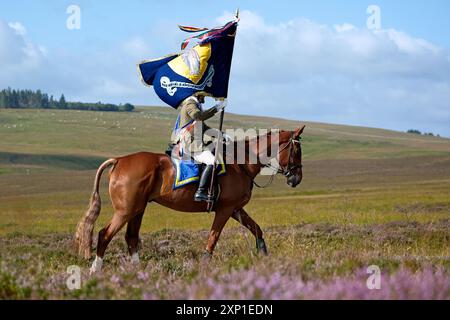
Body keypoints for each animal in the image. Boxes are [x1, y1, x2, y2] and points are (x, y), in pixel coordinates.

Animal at [74, 125, 306, 272]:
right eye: (297, 150)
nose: (296, 178)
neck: (242, 163)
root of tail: (120, 160)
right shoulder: (225, 210)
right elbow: (213, 238)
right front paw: (204, 265)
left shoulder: (235, 209)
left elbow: (257, 229)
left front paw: (265, 257)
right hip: (126, 210)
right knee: (105, 234)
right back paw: (96, 269)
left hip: (138, 209)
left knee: (131, 238)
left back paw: (138, 272)